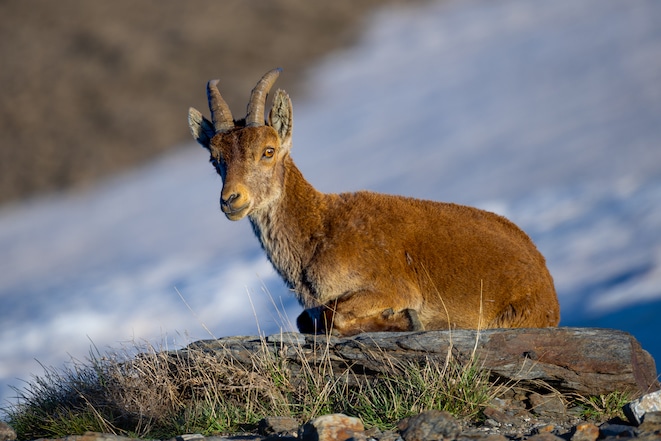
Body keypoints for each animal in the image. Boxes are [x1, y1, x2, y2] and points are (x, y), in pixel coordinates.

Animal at [188, 68, 560, 336]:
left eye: (268, 150)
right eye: (215, 160)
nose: (231, 200)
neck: (317, 233)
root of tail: (547, 284)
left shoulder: (391, 286)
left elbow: (333, 317)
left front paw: (408, 320)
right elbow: (307, 320)